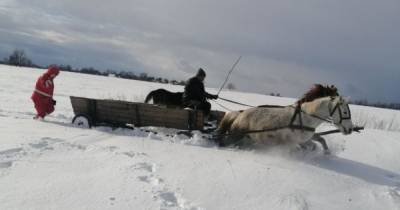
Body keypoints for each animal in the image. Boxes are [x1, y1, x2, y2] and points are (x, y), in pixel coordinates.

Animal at [216, 95, 354, 153]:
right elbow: (311, 145)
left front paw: (326, 153)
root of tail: (239, 114)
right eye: (345, 111)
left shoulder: (305, 139)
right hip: (236, 136)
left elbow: (318, 141)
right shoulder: (295, 141)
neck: (305, 117)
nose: (350, 129)